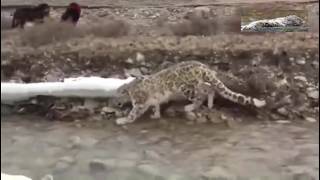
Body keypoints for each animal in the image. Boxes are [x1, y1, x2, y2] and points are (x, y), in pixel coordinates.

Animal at [115, 60, 264, 125]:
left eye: (116, 94)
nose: (115, 102)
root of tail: (203, 66)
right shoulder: (153, 100)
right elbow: (156, 105)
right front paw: (156, 115)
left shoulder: (139, 103)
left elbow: (133, 113)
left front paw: (122, 120)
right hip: (199, 83)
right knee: (210, 88)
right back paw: (210, 104)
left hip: (186, 88)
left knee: (199, 97)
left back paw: (190, 107)